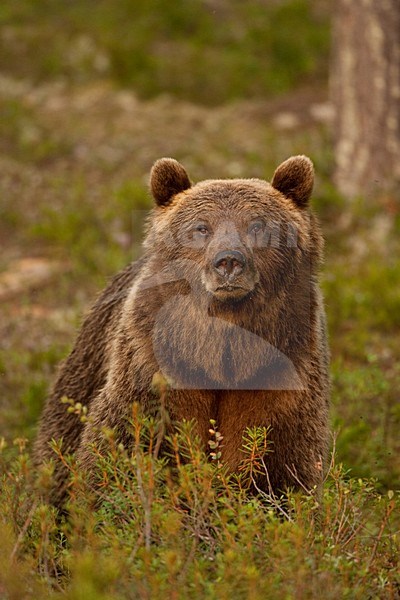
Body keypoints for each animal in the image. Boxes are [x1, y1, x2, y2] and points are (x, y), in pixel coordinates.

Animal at [33, 156, 328, 506]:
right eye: (201, 227)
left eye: (256, 226)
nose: (229, 261)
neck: (222, 354)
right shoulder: (154, 370)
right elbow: (116, 447)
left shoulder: (279, 379)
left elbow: (287, 467)